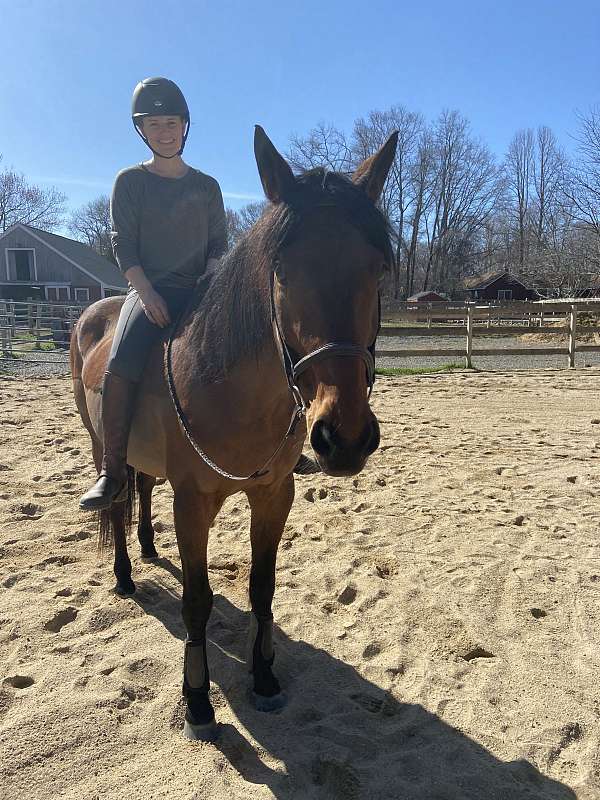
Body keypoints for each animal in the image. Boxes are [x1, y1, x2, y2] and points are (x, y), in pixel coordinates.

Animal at [70, 126, 398, 741]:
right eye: (283, 272)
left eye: (377, 269)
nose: (343, 437)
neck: (231, 387)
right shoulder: (193, 502)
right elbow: (197, 600)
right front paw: (198, 701)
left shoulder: (274, 494)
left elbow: (261, 586)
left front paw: (264, 678)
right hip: (103, 443)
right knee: (118, 496)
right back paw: (125, 573)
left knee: (141, 488)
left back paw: (148, 549)